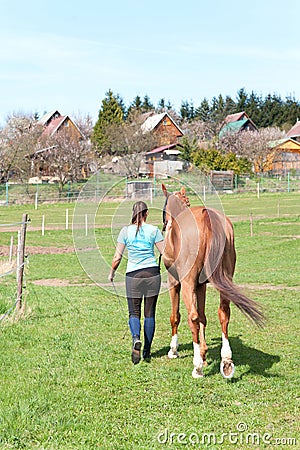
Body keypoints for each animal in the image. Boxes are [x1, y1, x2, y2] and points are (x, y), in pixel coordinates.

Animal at [162, 185, 264, 378]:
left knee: (192, 317)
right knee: (223, 313)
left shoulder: (175, 283)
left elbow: (176, 316)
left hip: (187, 284)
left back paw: (197, 368)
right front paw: (204, 353)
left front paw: (174, 350)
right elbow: (203, 317)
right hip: (225, 280)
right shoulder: (201, 286)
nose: (165, 225)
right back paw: (226, 360)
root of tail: (207, 217)